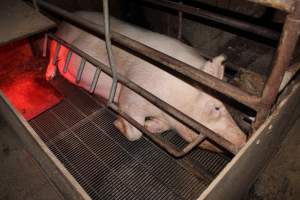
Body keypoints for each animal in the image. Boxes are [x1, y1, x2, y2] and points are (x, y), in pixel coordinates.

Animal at [47, 11, 247, 150]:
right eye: (217, 107)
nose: (243, 140)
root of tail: (70, 17)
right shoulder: (132, 93)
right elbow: (134, 131)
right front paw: (118, 123)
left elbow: (159, 126)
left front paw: (149, 126)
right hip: (60, 39)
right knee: (51, 53)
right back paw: (49, 76)